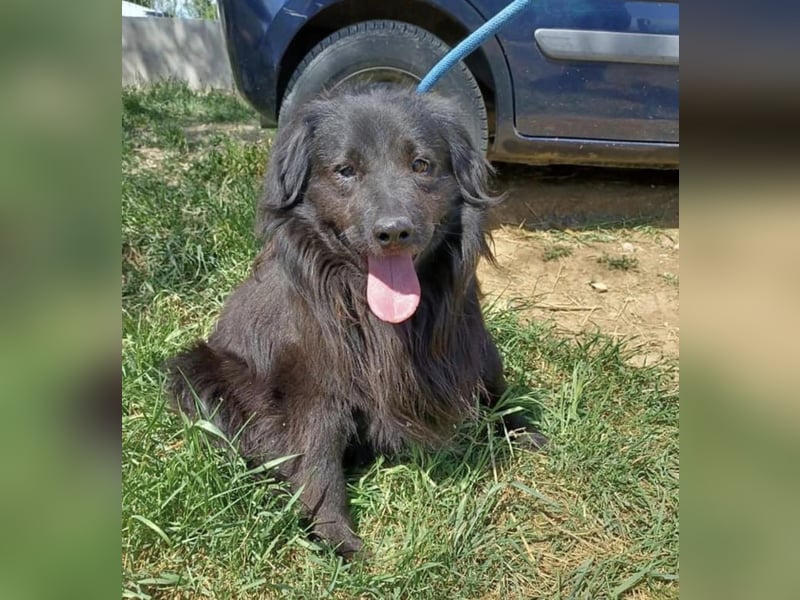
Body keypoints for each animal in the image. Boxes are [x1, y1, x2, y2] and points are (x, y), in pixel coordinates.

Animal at [167, 85, 544, 556]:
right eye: (345, 170)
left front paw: (525, 431)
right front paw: (337, 540)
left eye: (421, 165)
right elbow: (319, 460)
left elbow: (496, 390)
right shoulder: (315, 385)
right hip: (195, 370)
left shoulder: (470, 342)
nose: (394, 232)